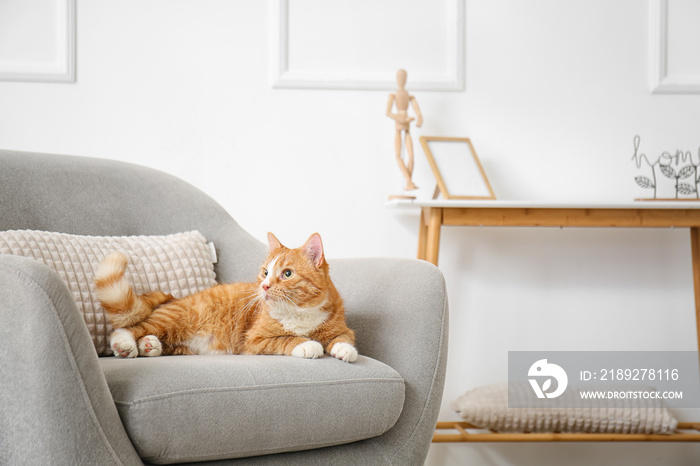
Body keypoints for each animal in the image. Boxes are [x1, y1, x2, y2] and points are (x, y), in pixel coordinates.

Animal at [95, 235, 358, 362]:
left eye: (287, 274)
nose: (264, 286)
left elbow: (344, 337)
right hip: (174, 319)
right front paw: (307, 344)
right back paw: (125, 344)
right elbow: (286, 339)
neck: (300, 312)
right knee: (132, 328)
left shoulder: (341, 327)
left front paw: (344, 350)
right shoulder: (254, 340)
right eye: (265, 272)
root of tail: (174, 297)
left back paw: (150, 346)